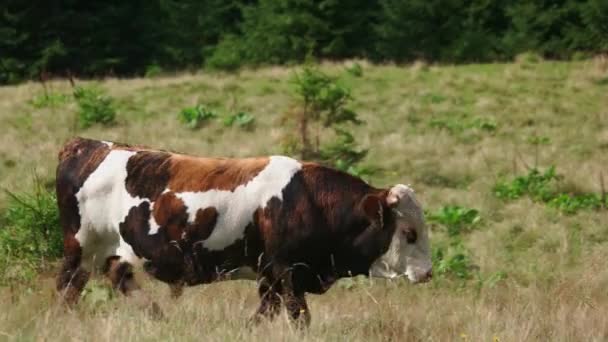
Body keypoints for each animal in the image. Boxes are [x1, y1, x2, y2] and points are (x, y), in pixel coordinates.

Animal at [54, 137, 430, 326]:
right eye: (409, 233)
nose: (426, 273)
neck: (307, 199)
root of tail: (91, 145)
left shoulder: (271, 276)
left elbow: (265, 313)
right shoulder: (288, 273)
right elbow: (299, 316)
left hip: (115, 252)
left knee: (120, 278)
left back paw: (158, 318)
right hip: (79, 247)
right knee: (68, 288)